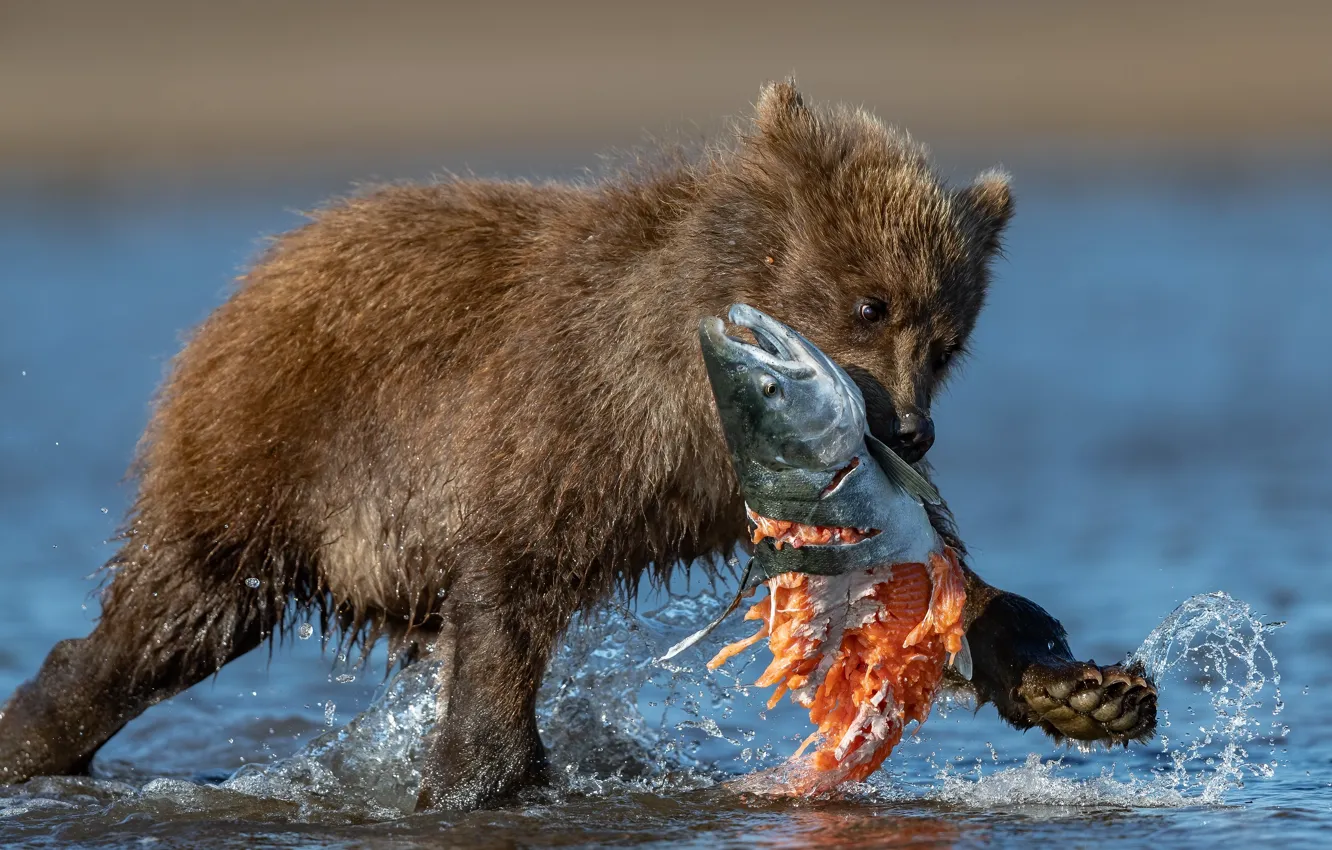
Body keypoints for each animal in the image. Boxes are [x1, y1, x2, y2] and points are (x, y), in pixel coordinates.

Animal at [0, 81, 1156, 810]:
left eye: (949, 337)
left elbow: (933, 581)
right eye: (872, 303)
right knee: (167, 621)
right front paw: (475, 777)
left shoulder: (725, 486)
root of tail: (249, 281)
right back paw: (38, 724)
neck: (682, 382)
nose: (911, 425)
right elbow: (504, 596)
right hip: (274, 457)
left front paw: (1087, 688)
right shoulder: (565, 428)